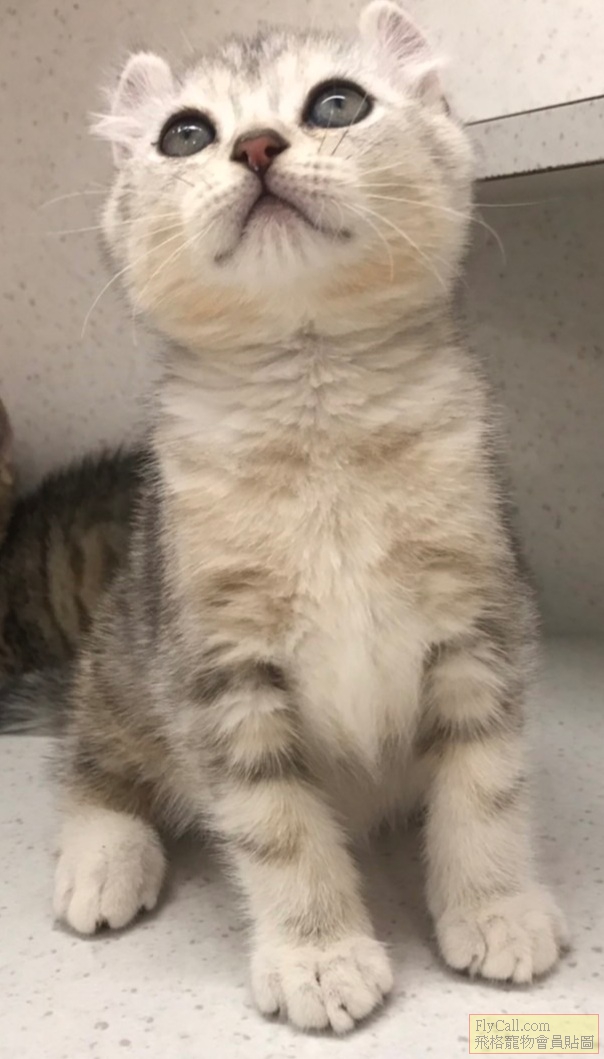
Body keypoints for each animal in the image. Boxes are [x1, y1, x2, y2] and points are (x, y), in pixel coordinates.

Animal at [30, 0, 569, 1034]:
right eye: (185, 132)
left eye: (337, 103)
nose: (257, 145)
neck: (319, 428)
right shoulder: (217, 668)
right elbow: (276, 827)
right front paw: (319, 954)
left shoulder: (481, 622)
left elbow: (486, 787)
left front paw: (495, 906)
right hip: (124, 651)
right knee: (93, 758)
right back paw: (103, 859)